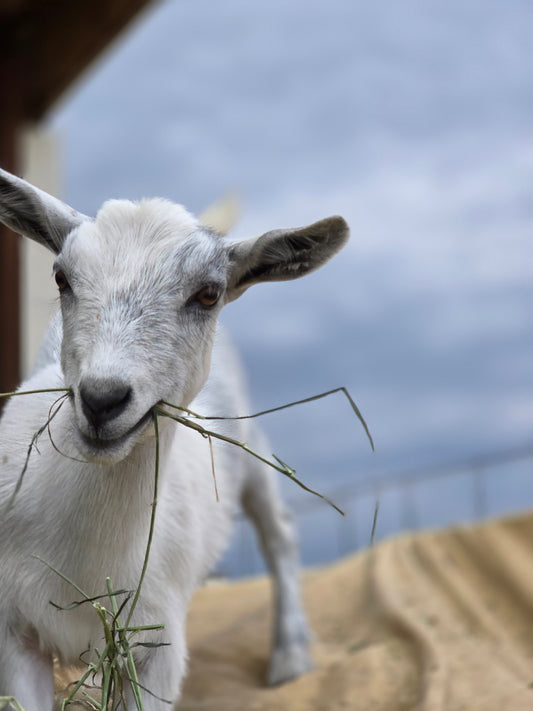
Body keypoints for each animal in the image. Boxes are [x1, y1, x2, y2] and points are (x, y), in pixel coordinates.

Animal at [0, 168, 349, 710]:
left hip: (252, 445)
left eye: (208, 293)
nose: (102, 399)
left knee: (279, 533)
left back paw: (291, 655)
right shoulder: (15, 632)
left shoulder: (158, 648)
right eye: (61, 278)